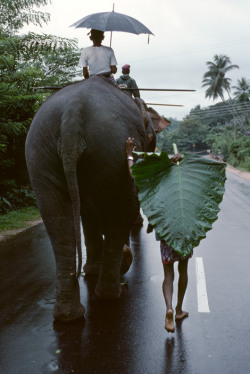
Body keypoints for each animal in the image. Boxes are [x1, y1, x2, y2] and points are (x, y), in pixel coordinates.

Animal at [25, 76, 169, 322]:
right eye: (151, 138)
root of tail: (71, 116)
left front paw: (93, 269)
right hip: (110, 147)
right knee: (117, 207)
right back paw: (111, 293)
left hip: (40, 153)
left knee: (56, 216)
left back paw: (68, 315)